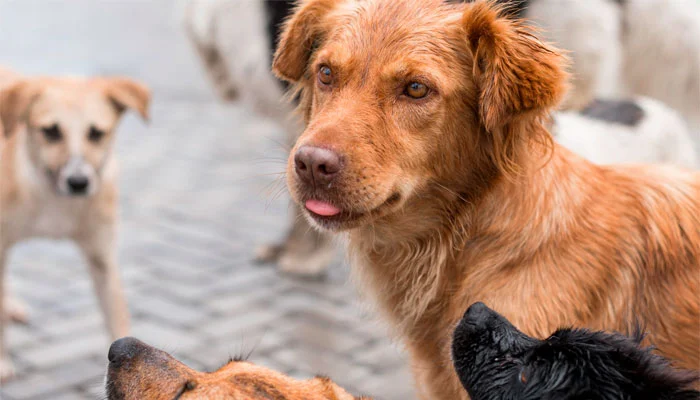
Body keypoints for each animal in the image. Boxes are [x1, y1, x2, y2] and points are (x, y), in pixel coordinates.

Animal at [0, 67, 149, 380]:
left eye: (96, 133)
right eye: (50, 131)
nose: (78, 182)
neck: (53, 197)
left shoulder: (102, 256)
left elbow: (117, 315)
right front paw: (1, 361)